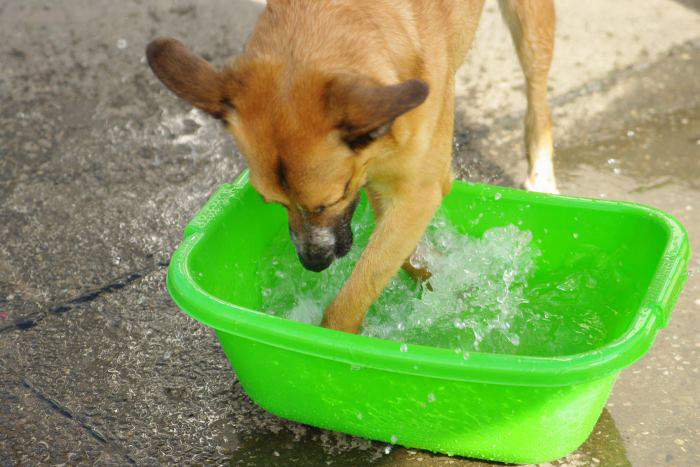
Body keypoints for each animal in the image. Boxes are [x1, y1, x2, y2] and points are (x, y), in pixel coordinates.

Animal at [147, 0, 556, 334]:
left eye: (331, 199)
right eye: (274, 203)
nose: (313, 263)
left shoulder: (418, 191)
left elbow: (361, 285)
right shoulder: (375, 173)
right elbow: (401, 254)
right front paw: (432, 276)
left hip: (530, 26)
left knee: (537, 92)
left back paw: (542, 174)